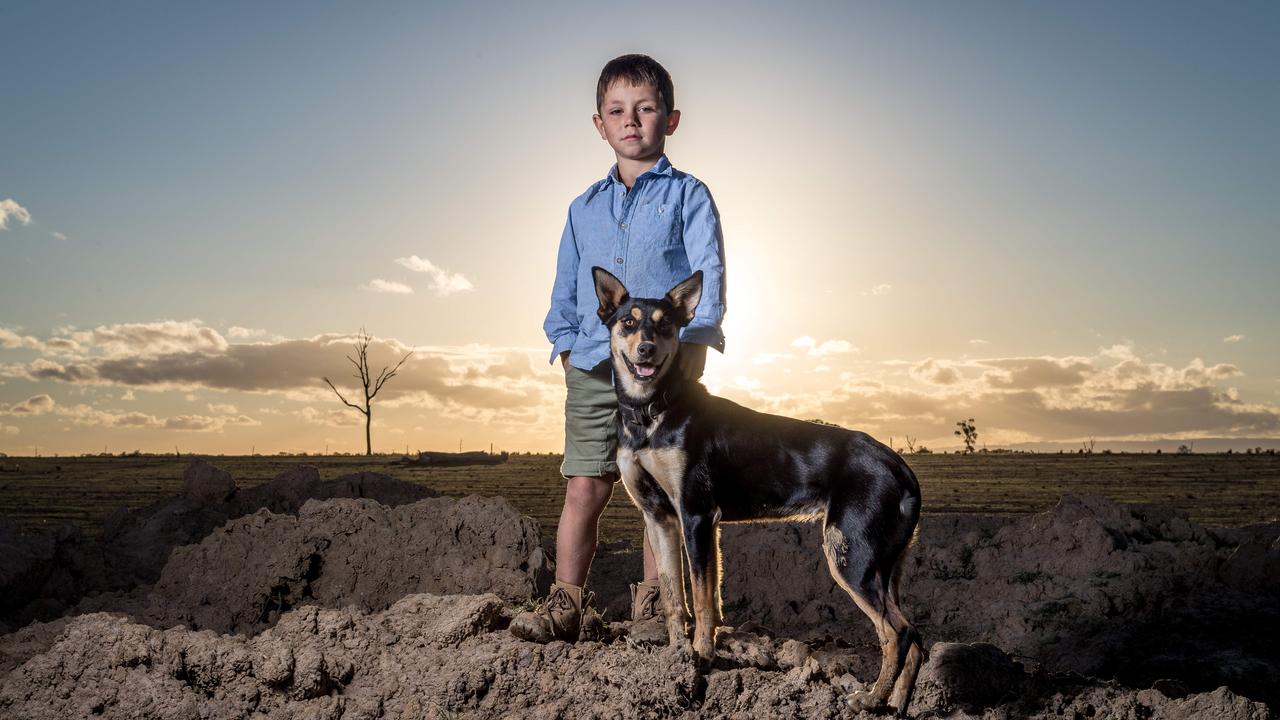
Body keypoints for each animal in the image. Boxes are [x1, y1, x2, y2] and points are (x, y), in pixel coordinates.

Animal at [593, 267, 926, 712]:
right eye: (627, 323)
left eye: (665, 325)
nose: (645, 350)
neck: (651, 412)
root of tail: (899, 466)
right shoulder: (659, 518)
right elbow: (673, 597)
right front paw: (675, 662)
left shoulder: (696, 516)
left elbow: (703, 600)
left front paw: (700, 660)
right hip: (884, 563)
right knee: (915, 639)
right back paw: (894, 705)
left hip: (850, 554)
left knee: (898, 633)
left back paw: (871, 698)